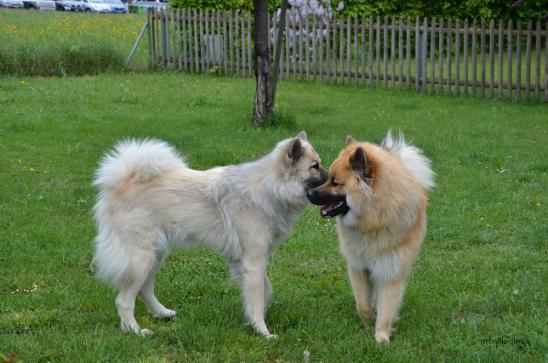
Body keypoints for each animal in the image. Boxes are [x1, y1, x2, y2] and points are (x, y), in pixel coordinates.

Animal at [308, 132, 432, 342]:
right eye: (328, 178)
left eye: (335, 183)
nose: (308, 193)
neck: (374, 220)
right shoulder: (358, 267)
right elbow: (363, 304)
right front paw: (368, 324)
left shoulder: (390, 270)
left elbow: (386, 309)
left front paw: (381, 337)